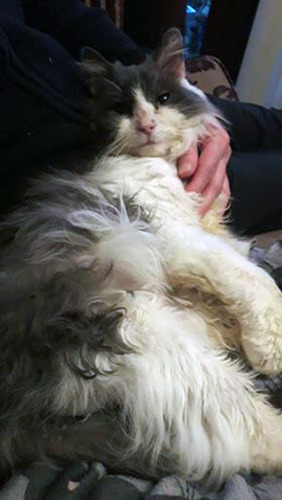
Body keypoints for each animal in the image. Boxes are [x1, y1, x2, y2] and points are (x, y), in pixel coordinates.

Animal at [0, 28, 282, 484]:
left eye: (162, 98)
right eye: (121, 108)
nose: (147, 124)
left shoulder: (206, 232)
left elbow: (235, 266)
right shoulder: (172, 233)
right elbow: (253, 279)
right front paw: (270, 343)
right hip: (150, 337)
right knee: (250, 432)